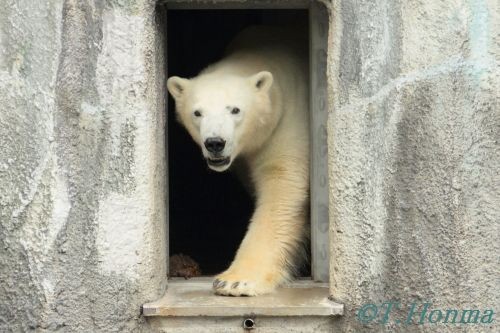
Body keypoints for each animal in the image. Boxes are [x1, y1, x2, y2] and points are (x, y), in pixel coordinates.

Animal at [167, 26, 308, 296]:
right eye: (197, 112)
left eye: (235, 110)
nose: (215, 143)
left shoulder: (288, 120)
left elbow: (281, 183)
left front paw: (236, 281)